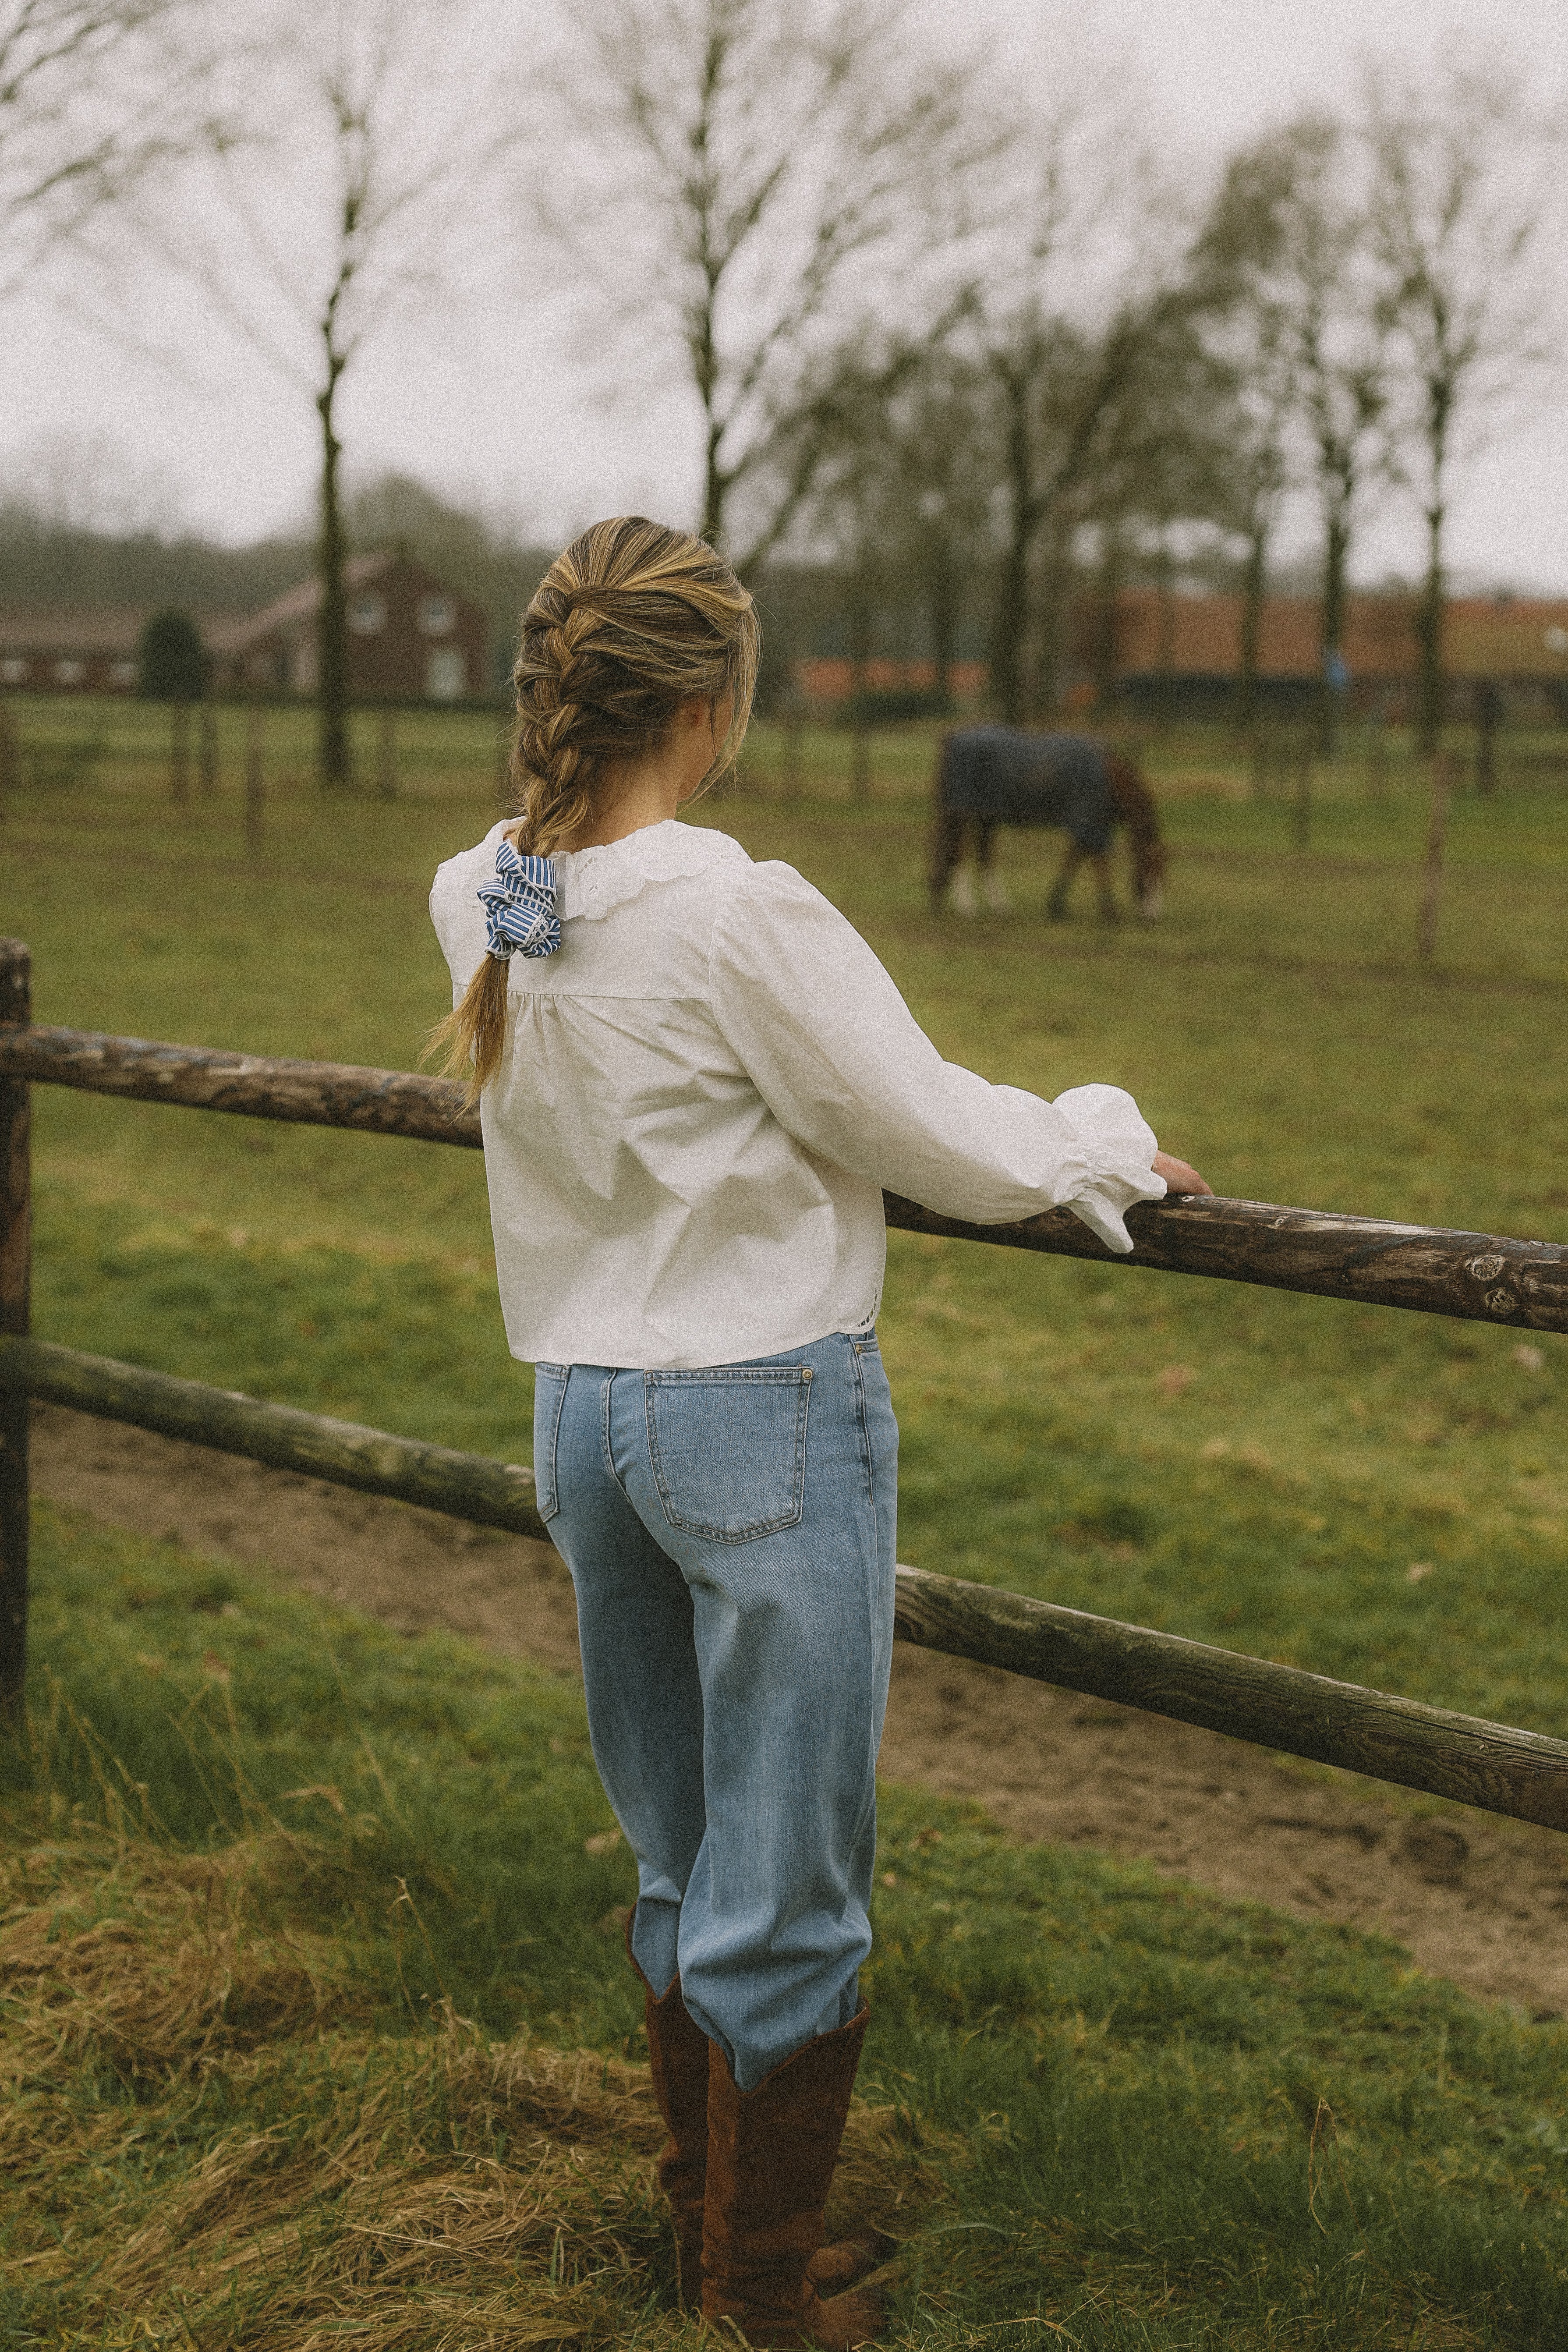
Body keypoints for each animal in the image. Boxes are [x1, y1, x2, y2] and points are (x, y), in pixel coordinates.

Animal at [931, 729, 1166, 922]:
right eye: (1152, 869)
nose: (1154, 916)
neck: (1109, 778)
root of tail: (953, 741)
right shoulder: (1090, 823)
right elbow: (1097, 861)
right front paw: (1109, 910)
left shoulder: (1087, 825)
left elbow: (1074, 859)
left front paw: (1056, 906)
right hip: (966, 815)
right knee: (960, 853)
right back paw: (966, 906)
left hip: (985, 818)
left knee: (981, 855)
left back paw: (998, 906)